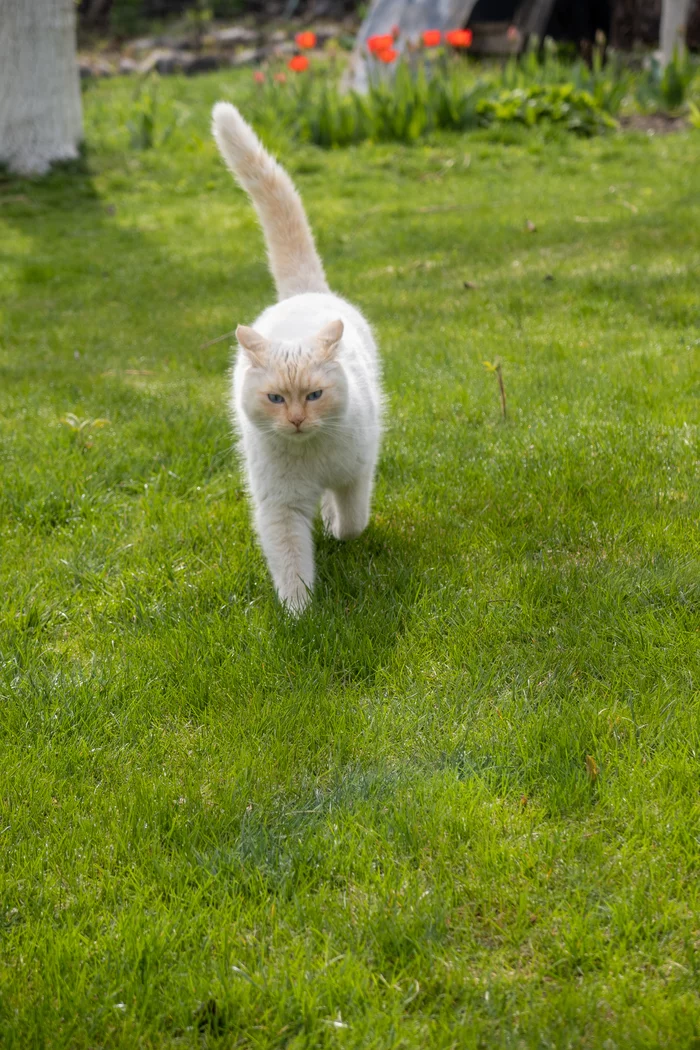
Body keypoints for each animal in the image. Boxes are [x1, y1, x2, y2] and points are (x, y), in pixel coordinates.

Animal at [210, 102, 384, 613]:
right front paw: (300, 614)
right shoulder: (279, 506)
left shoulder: (355, 475)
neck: (310, 457)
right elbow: (289, 560)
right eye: (274, 399)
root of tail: (303, 292)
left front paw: (337, 529)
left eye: (314, 395)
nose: (296, 420)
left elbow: (353, 522)